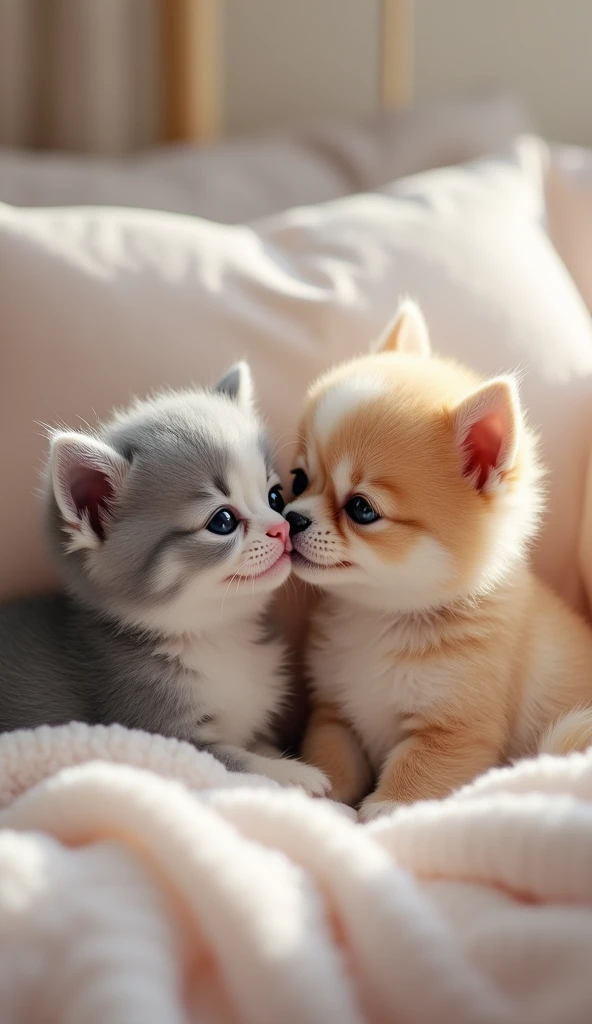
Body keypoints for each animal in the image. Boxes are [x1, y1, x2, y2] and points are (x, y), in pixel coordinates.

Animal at [0, 364, 327, 794]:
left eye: (275, 497)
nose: (284, 528)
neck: (217, 634)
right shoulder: (156, 731)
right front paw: (297, 773)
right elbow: (237, 762)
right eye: (223, 521)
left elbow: (258, 743)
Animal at [286, 299, 592, 819]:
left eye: (361, 509)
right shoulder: (336, 709)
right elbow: (332, 753)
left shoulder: (455, 730)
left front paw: (386, 807)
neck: (379, 618)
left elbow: (419, 770)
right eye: (297, 481)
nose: (290, 518)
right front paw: (321, 787)